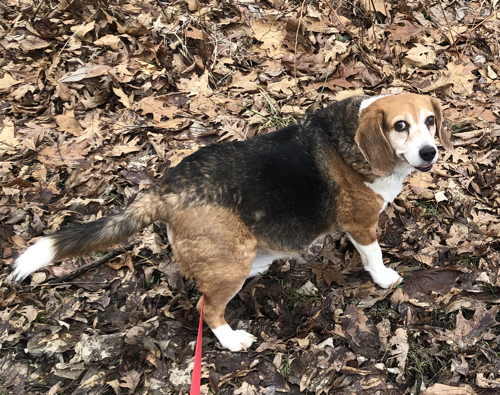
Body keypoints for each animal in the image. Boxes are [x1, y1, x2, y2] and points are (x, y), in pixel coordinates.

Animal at [10, 93, 454, 352]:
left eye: (430, 120)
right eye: (400, 126)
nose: (429, 152)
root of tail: (167, 189)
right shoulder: (362, 223)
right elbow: (373, 255)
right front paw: (384, 278)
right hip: (230, 263)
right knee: (207, 307)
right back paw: (231, 338)